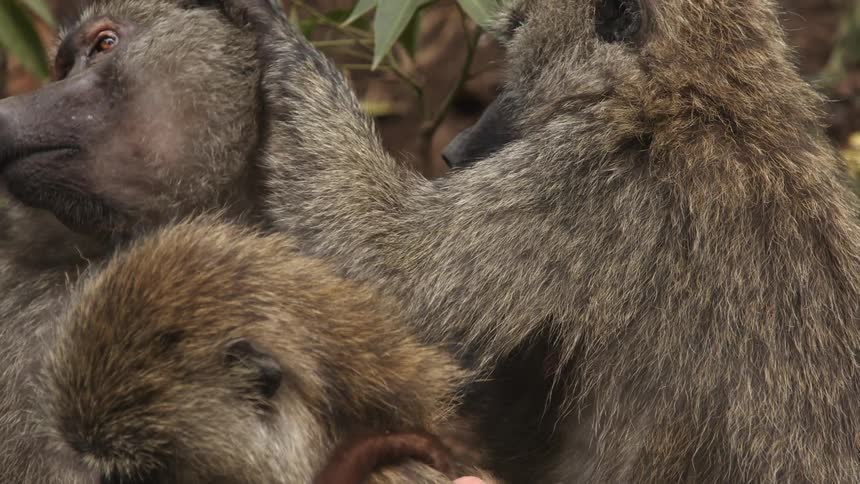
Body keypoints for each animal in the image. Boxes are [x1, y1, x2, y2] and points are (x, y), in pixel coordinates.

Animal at [219, 0, 860, 481]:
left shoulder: (590, 181)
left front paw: (282, 42)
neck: (701, 97)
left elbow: (394, 274)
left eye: (517, 35)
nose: (454, 149)